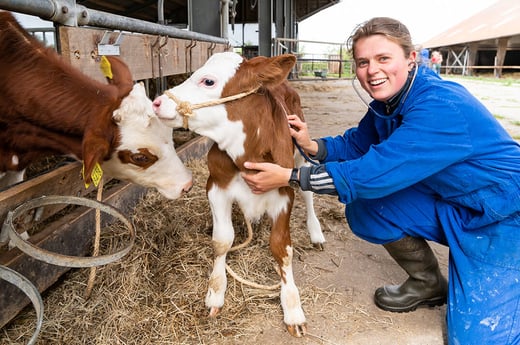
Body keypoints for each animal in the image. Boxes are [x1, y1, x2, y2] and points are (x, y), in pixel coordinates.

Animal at [152, 51, 324, 336]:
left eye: (208, 81)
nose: (156, 102)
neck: (248, 154)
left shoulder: (284, 192)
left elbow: (282, 248)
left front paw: (292, 306)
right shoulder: (216, 186)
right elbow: (222, 240)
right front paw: (215, 291)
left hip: (302, 152)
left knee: (309, 194)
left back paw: (316, 233)